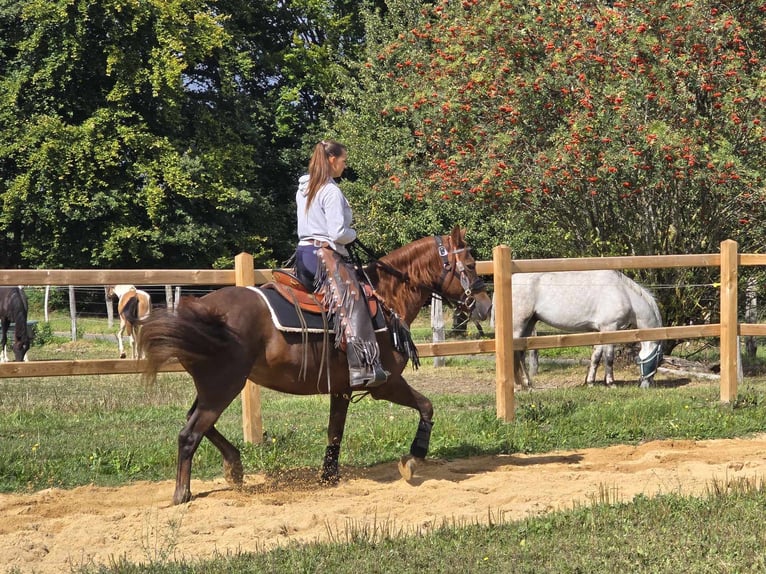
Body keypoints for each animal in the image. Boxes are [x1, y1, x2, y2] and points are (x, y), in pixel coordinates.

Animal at [141, 227, 496, 506]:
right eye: (469, 264)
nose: (485, 306)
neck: (385, 298)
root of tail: (199, 309)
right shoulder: (385, 384)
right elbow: (426, 405)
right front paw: (413, 457)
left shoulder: (342, 388)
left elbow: (335, 431)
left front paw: (328, 475)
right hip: (223, 386)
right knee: (189, 433)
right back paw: (182, 493)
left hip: (213, 387)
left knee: (196, 422)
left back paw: (234, 468)